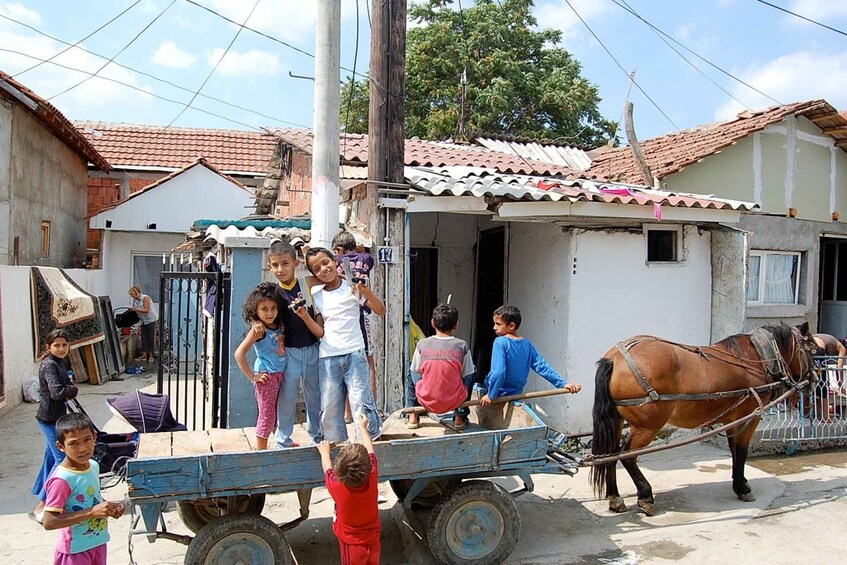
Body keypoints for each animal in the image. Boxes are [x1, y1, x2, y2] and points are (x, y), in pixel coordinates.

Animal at [588, 322, 816, 516]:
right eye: (812, 349)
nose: (814, 379)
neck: (756, 357)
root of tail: (615, 358)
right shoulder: (749, 418)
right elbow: (741, 451)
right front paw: (742, 488)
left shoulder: (731, 420)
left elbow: (734, 451)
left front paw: (739, 481)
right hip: (648, 426)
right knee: (627, 456)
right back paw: (646, 496)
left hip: (617, 420)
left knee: (609, 454)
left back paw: (615, 498)